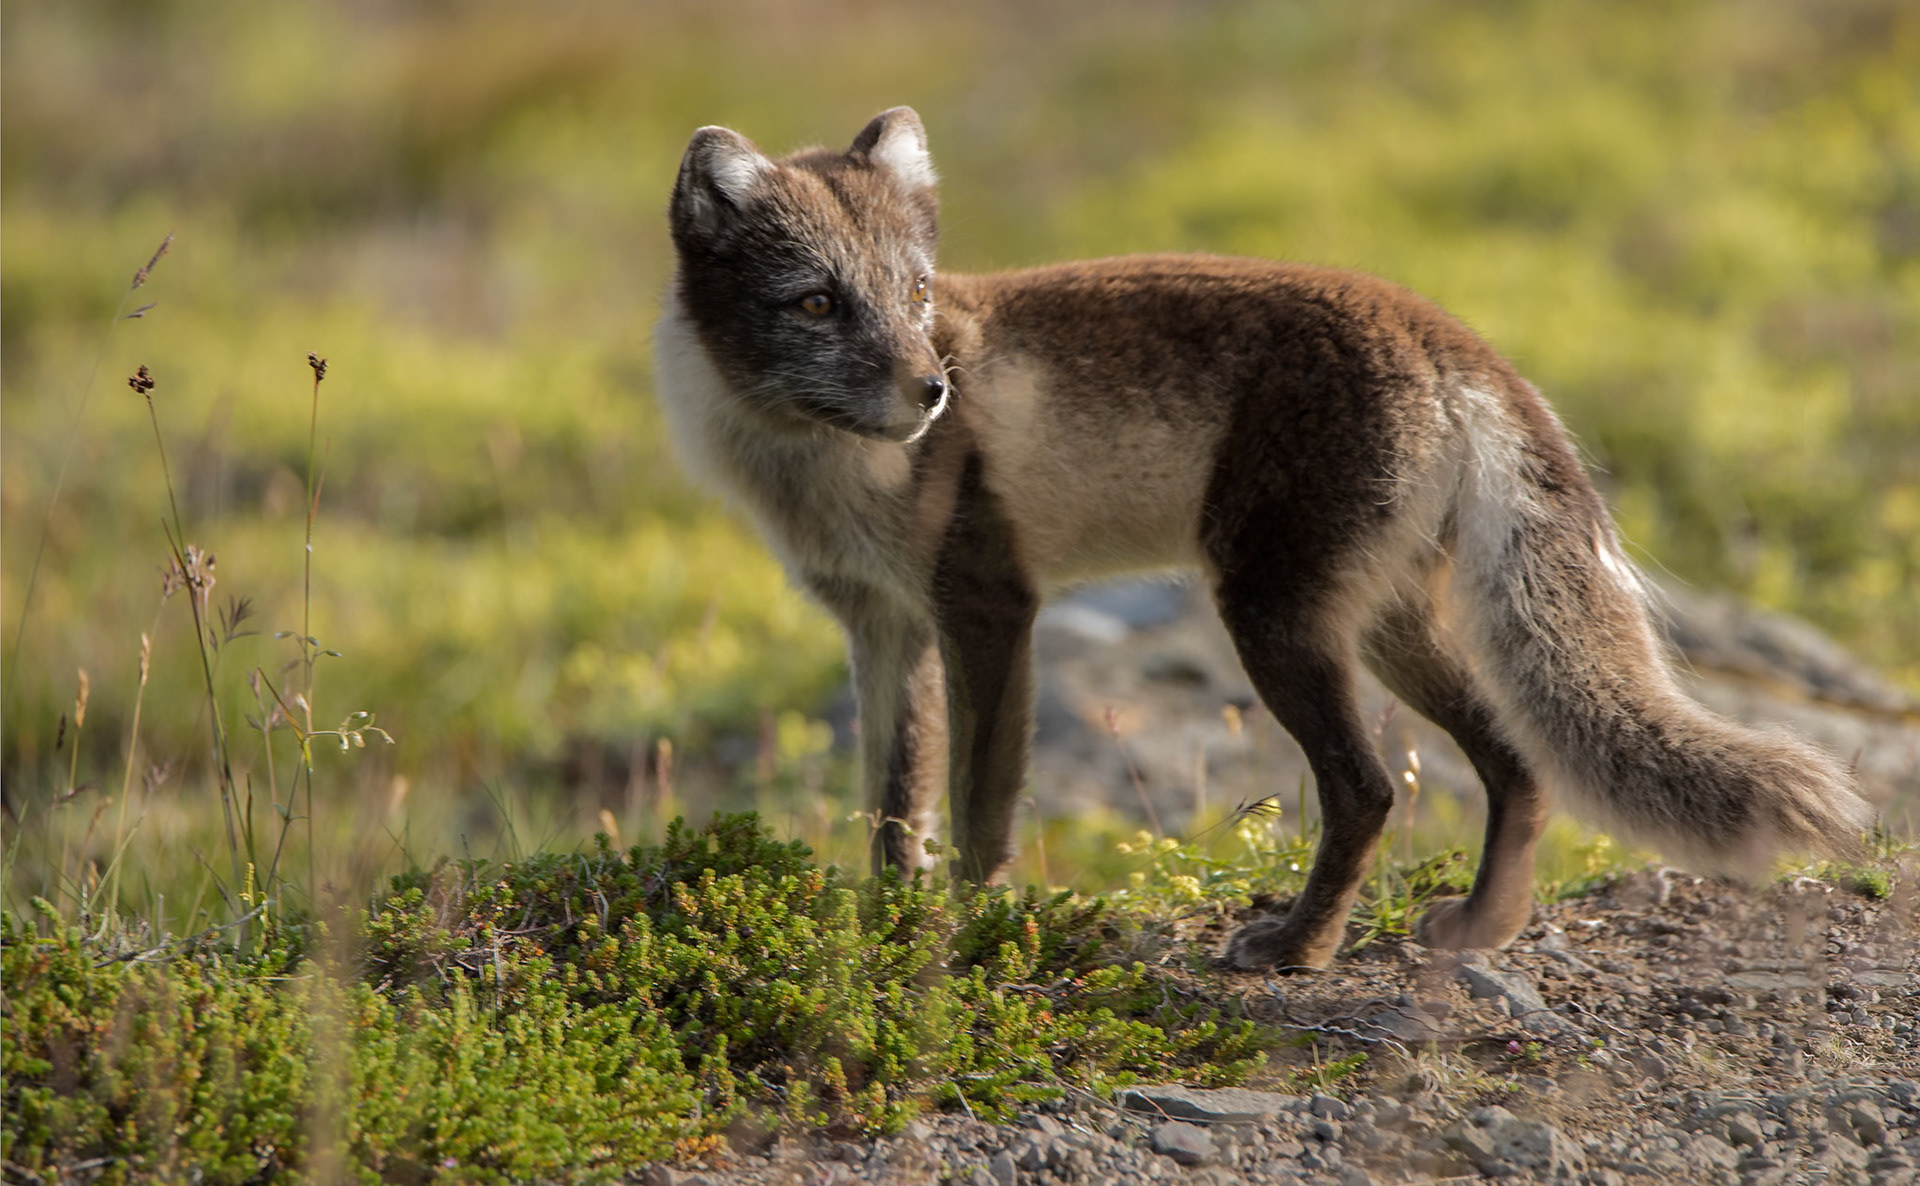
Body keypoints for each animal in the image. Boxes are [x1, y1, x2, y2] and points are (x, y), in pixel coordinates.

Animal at [651, 107, 1874, 969]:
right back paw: (1479, 931)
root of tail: (1447, 329)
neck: (810, 466)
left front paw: (965, 940)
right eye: (818, 303)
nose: (934, 392)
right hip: (1380, 625)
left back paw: (1298, 950)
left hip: (1272, 618)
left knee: (1371, 789)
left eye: (911, 292)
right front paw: (886, 924)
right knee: (1516, 761)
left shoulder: (990, 604)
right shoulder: (881, 625)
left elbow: (978, 807)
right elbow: (893, 801)